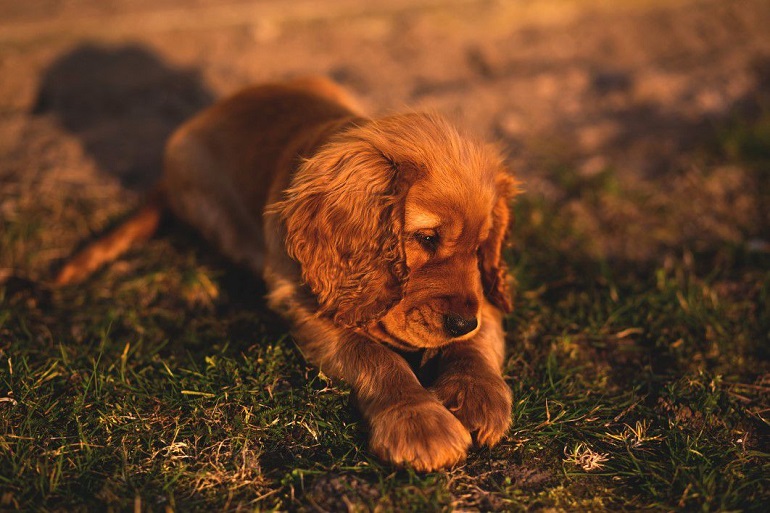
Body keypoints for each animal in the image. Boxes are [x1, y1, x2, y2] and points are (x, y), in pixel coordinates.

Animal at [57, 77, 520, 472]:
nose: (460, 322)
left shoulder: (482, 296)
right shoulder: (301, 302)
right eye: (425, 238)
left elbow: (479, 336)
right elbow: (375, 355)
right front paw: (419, 422)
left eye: (481, 247)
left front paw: (477, 395)